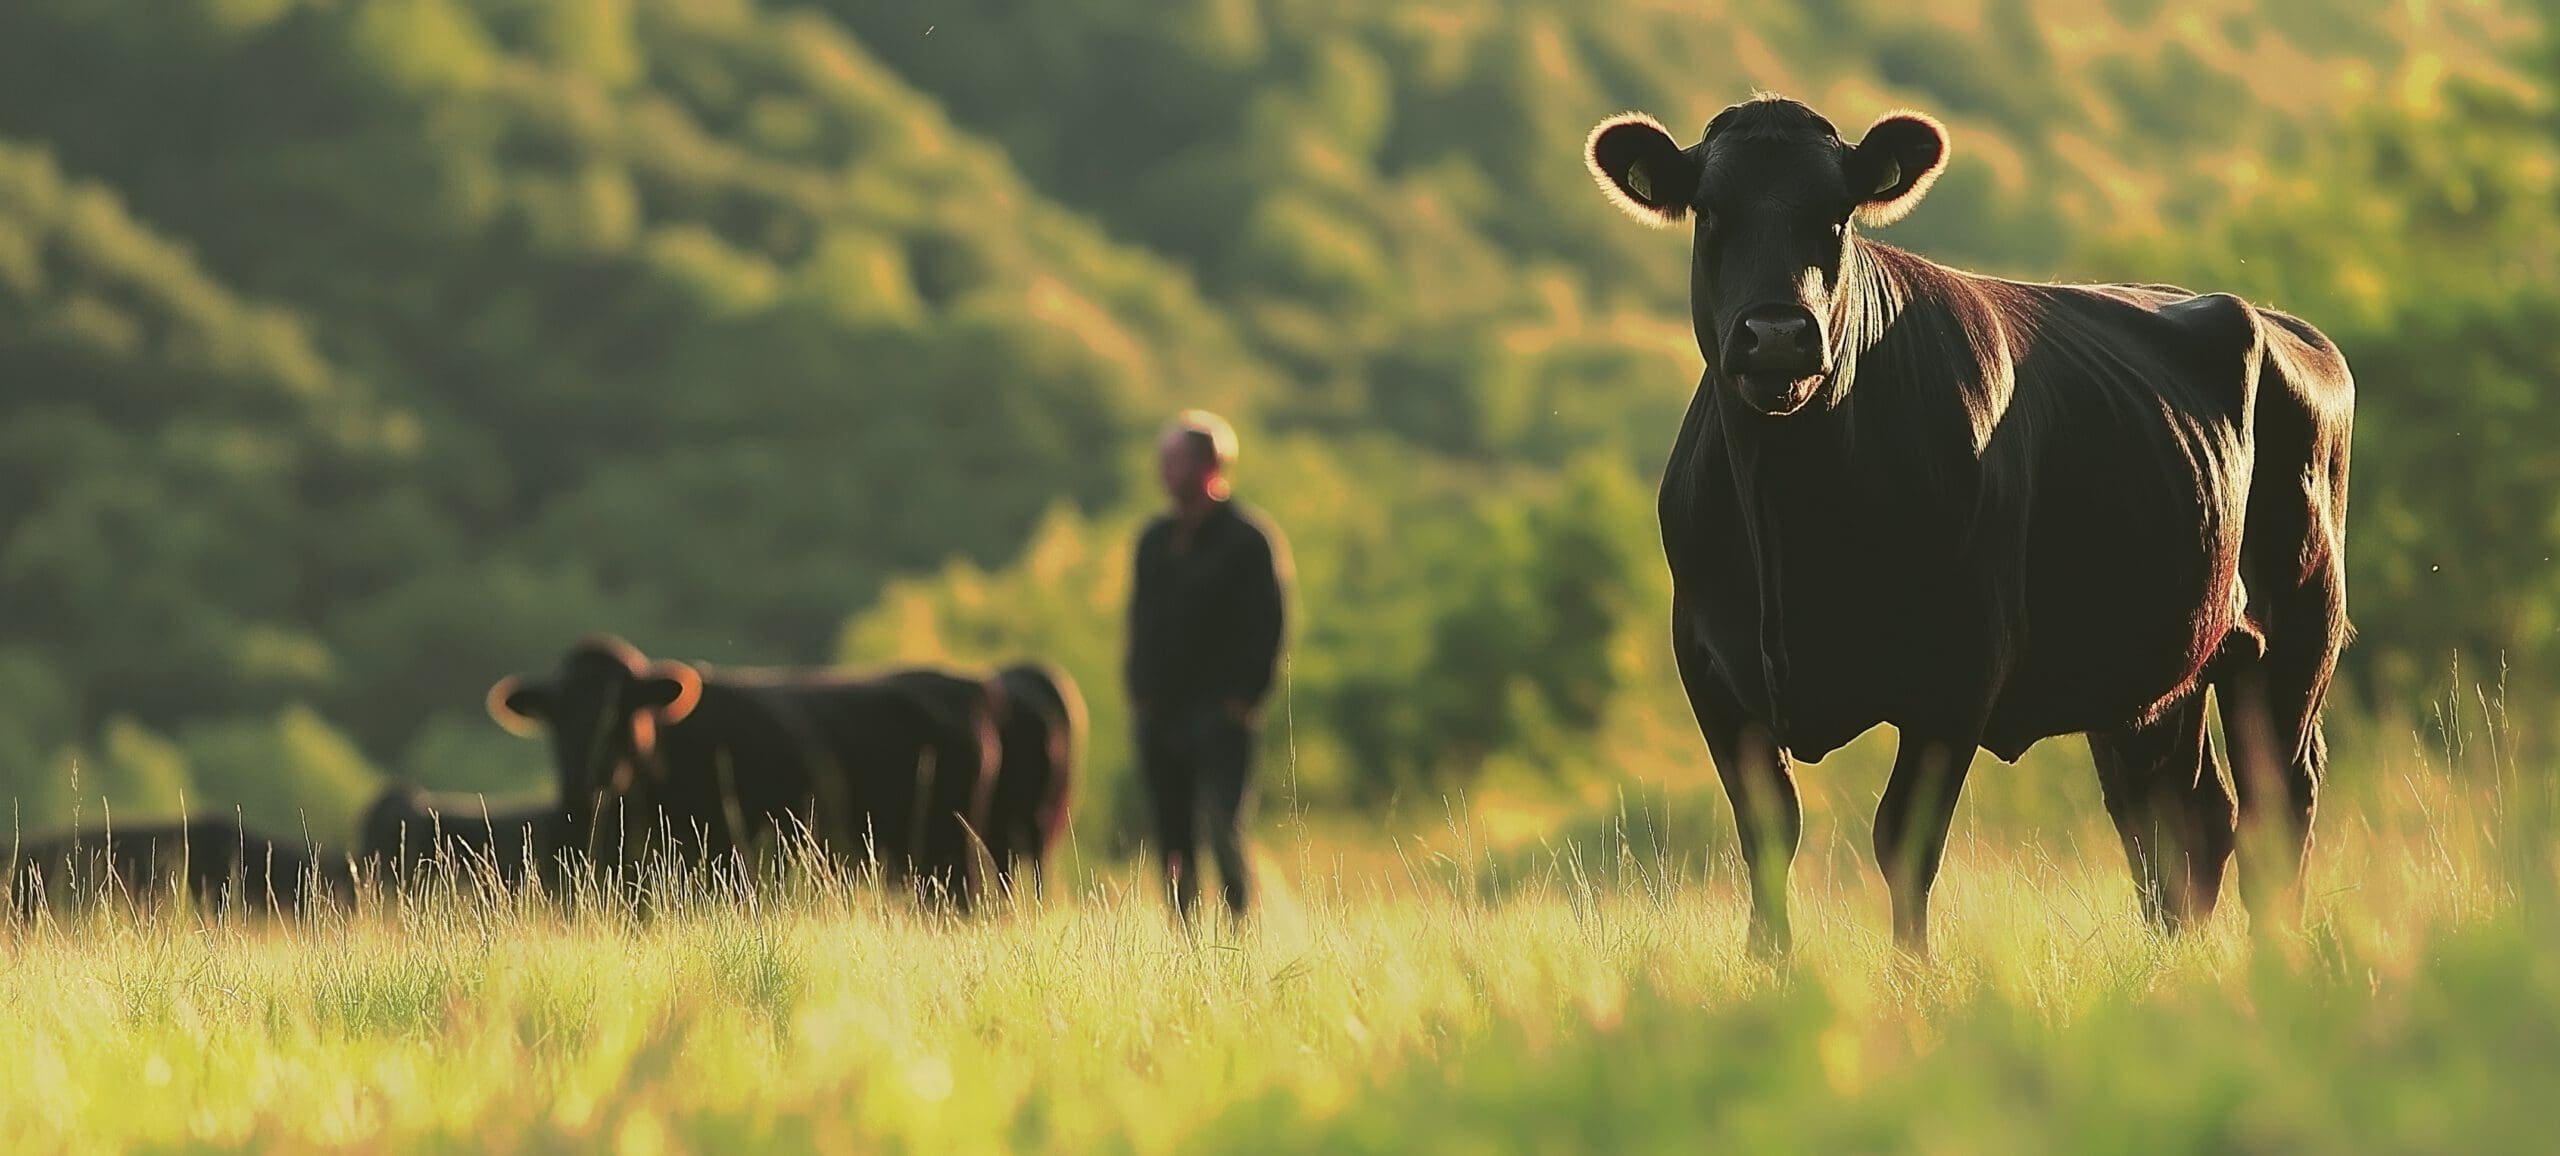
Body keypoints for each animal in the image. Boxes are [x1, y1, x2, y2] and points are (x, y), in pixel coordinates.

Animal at [1584, 96, 2353, 955]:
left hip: (2297, 634)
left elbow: (1903, 842)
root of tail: (2278, 323)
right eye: (1711, 210)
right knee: (2177, 818)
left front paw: (1911, 973)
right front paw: (1769, 966)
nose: (1779, 334)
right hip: (2158, 670)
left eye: (1838, 216)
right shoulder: (1714, 674)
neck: (1791, 521)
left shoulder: (1956, 674)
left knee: (2277, 807)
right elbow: (1768, 835)